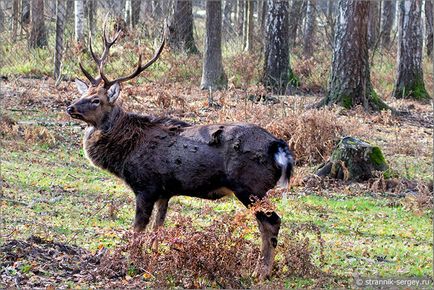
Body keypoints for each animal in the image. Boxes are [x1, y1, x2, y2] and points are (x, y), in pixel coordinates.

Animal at [65, 23, 294, 278]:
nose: (70, 107)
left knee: (271, 222)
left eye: (96, 100)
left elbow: (138, 228)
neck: (127, 150)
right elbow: (158, 226)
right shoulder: (165, 191)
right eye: (83, 94)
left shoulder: (146, 186)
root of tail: (278, 146)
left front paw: (132, 262)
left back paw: (261, 272)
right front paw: (154, 258)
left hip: (251, 186)